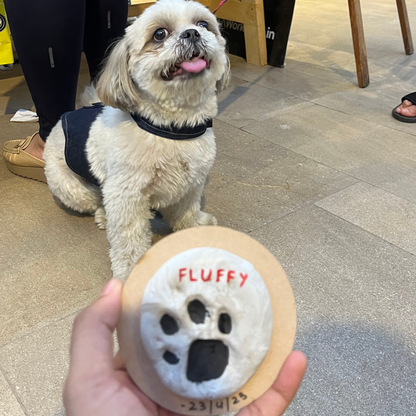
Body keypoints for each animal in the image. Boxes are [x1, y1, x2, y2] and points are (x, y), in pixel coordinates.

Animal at [44, 0, 229, 282]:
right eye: (160, 34)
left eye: (203, 24)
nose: (192, 33)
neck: (171, 129)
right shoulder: (126, 195)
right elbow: (129, 239)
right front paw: (131, 270)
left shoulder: (191, 183)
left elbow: (187, 212)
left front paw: (195, 227)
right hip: (71, 187)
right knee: (96, 201)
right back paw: (103, 215)